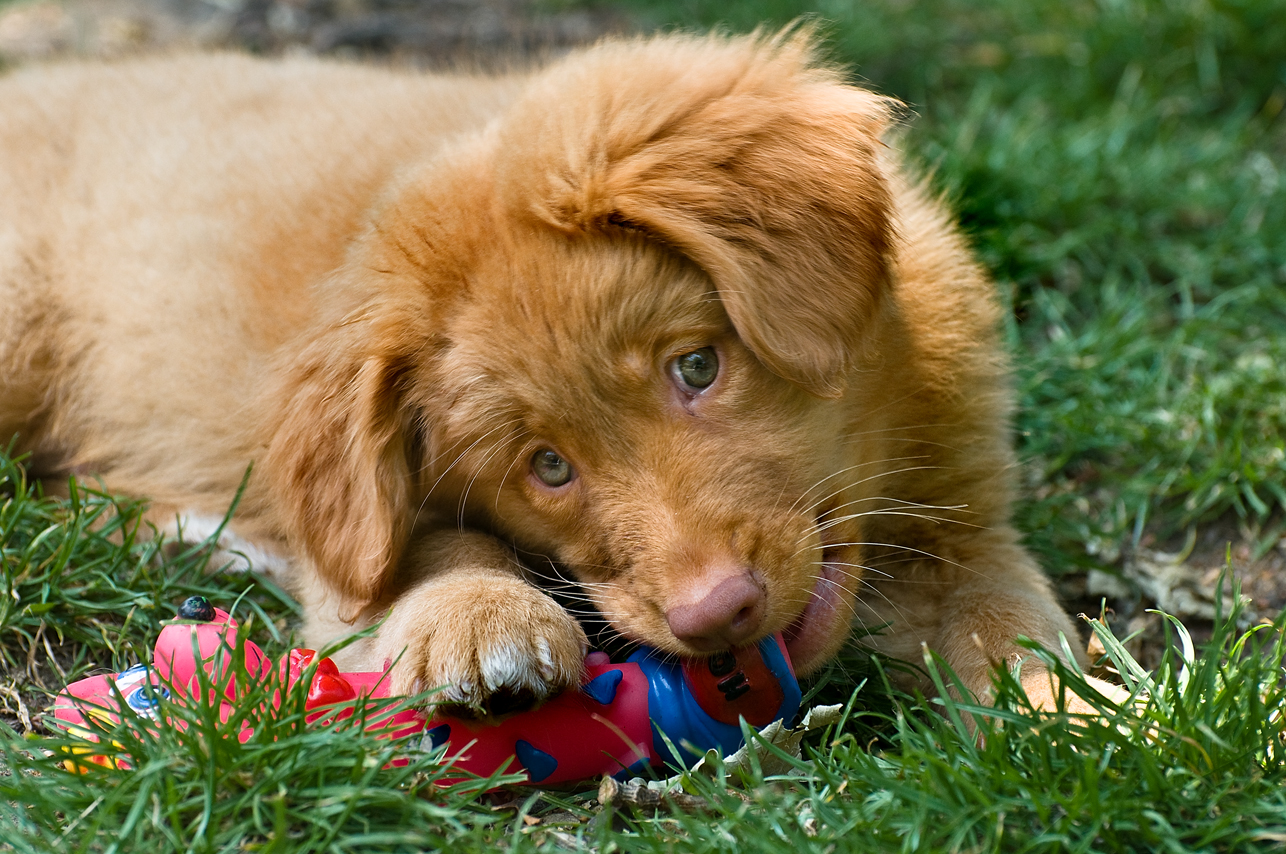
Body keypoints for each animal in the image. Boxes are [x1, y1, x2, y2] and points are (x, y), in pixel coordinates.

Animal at [0, 30, 1105, 715]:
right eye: (546, 466)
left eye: (697, 366)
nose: (719, 614)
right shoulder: (351, 537)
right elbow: (416, 548)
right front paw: (476, 614)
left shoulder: (964, 534)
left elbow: (1018, 636)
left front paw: (1095, 724)